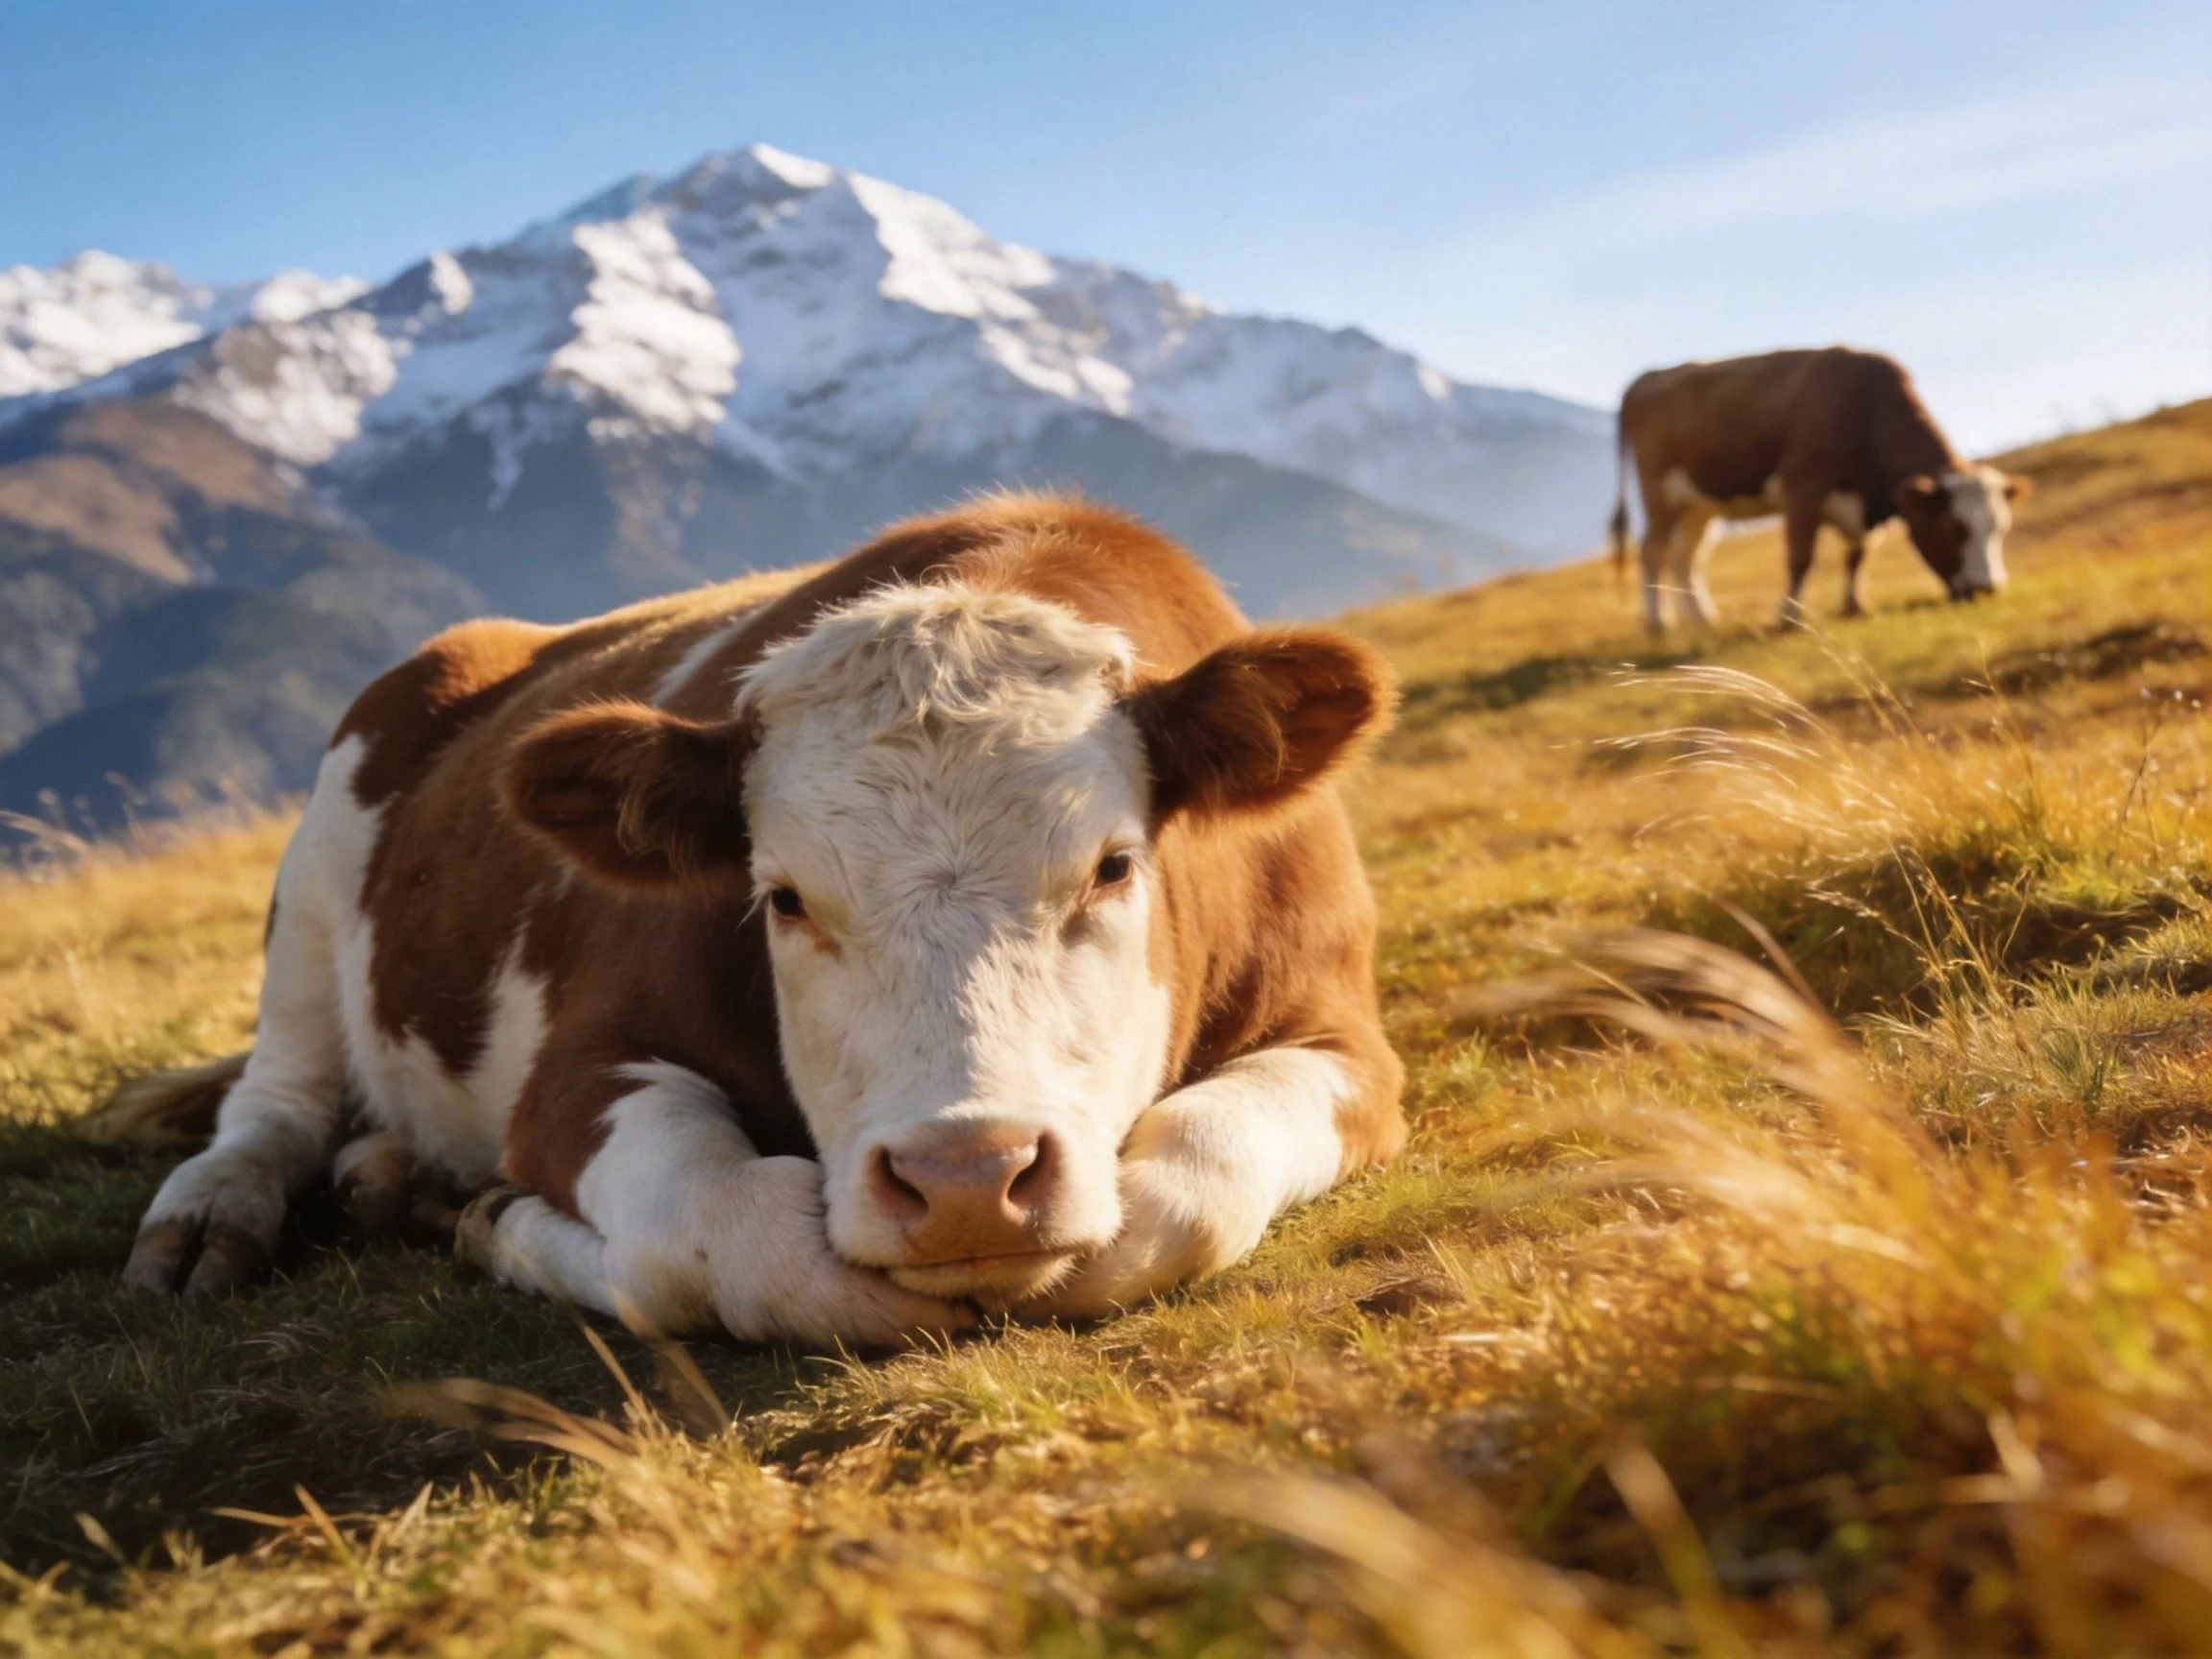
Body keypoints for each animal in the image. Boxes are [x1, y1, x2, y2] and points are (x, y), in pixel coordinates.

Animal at [118, 495, 1408, 1346]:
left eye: (1112, 866)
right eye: (783, 895)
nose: (962, 1177)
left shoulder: (1348, 1039)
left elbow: (1183, 1187)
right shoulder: (574, 1072)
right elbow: (726, 1235)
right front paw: (497, 1220)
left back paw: (390, 1174)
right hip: (313, 882)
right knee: (274, 1102)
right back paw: (213, 1219)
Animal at [1608, 347, 2031, 631]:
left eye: (2001, 528)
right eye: (1953, 528)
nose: (1989, 589)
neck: (1864, 409)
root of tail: (1646, 378)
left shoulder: (1863, 506)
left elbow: (1858, 555)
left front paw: (1855, 606)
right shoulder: (1803, 489)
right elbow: (1801, 556)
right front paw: (1789, 616)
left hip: (1701, 505)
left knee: (1687, 557)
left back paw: (1702, 619)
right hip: (1660, 494)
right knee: (1653, 550)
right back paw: (1658, 622)